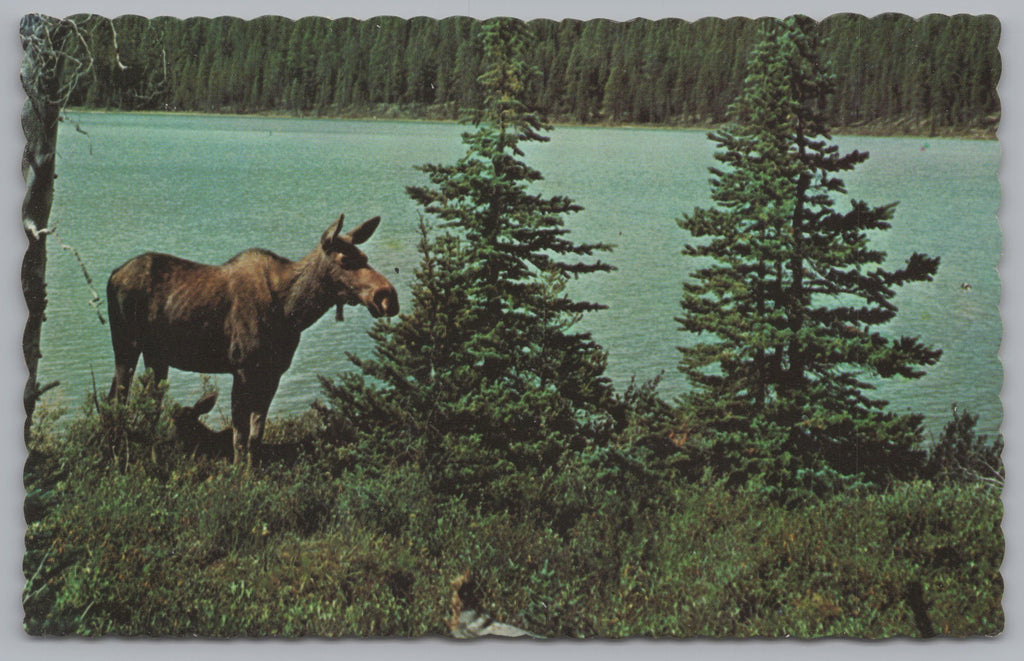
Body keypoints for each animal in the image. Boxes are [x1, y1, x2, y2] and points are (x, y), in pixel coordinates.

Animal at [105, 214, 397, 468]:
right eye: (345, 260)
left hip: (156, 356)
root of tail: (113, 274)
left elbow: (256, 434)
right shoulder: (242, 368)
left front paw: (252, 471)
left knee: (147, 403)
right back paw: (118, 457)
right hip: (125, 345)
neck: (291, 313)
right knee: (119, 399)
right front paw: (237, 474)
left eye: (365, 257)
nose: (387, 296)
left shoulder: (273, 372)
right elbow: (240, 434)